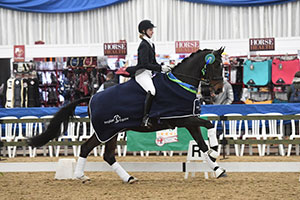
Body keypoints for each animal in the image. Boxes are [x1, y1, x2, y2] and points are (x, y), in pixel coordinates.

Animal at [27, 47, 227, 183]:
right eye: (216, 65)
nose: (218, 89)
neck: (181, 83)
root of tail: (91, 97)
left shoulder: (188, 120)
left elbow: (201, 145)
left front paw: (217, 168)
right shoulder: (181, 118)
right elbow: (209, 125)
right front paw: (215, 149)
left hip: (111, 132)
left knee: (99, 153)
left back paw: (117, 177)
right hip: (106, 131)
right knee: (92, 150)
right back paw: (85, 176)